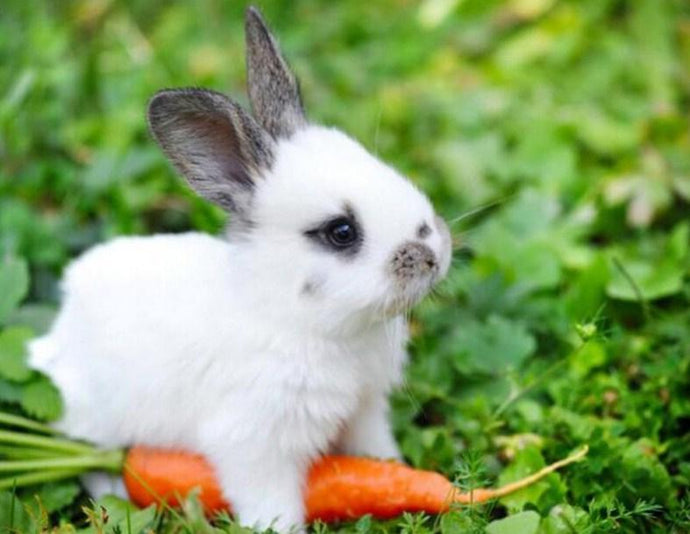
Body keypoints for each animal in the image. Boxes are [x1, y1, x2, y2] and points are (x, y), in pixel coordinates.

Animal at [29, 6, 452, 533]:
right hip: (97, 423)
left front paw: (396, 471)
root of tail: (57, 338)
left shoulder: (364, 410)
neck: (304, 321)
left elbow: (374, 453)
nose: (434, 252)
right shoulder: (255, 444)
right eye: (341, 231)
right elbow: (272, 502)